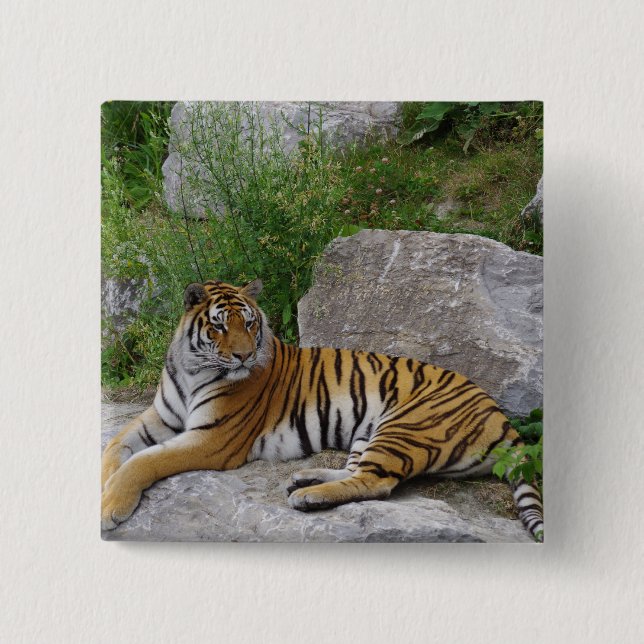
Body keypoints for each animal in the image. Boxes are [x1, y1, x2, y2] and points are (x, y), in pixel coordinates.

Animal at [101, 278, 544, 541]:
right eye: (219, 326)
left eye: (249, 323)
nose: (245, 356)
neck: (192, 369)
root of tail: (500, 415)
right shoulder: (160, 417)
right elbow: (115, 447)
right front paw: (105, 484)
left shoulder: (212, 439)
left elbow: (145, 462)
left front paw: (110, 506)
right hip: (369, 431)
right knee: (357, 471)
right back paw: (305, 479)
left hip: (405, 427)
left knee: (376, 484)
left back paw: (307, 497)